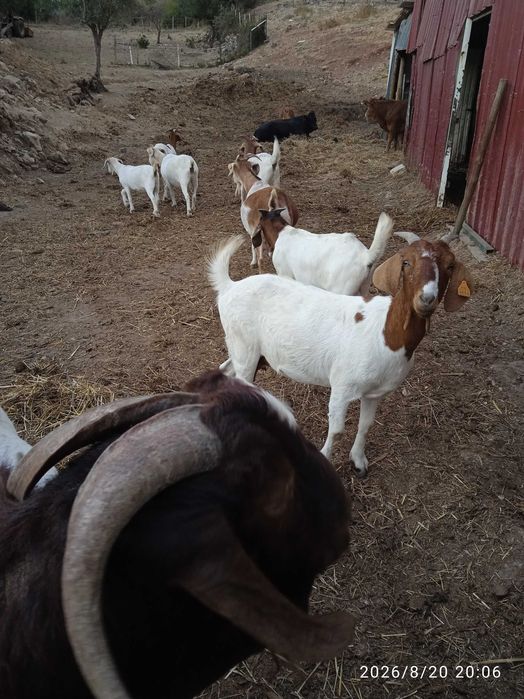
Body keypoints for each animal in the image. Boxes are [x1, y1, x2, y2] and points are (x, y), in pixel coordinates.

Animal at [209, 237, 473, 476]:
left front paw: (358, 461)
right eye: (406, 262)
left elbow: (365, 425)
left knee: (226, 370)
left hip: (244, 349)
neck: (386, 334)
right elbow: (336, 430)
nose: (426, 299)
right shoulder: (342, 386)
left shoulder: (375, 393)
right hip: (244, 347)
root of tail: (229, 286)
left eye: (450, 265)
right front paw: (326, 461)